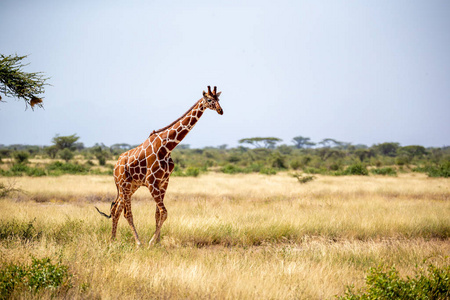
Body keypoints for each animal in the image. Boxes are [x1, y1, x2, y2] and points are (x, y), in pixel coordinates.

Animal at [96, 85, 222, 245]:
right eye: (210, 100)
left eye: (219, 99)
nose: (220, 110)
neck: (167, 147)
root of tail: (115, 167)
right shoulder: (152, 182)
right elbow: (164, 212)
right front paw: (151, 242)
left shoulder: (164, 182)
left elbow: (158, 214)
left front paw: (158, 242)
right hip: (124, 185)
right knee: (126, 213)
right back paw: (138, 242)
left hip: (131, 186)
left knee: (116, 209)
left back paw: (113, 239)